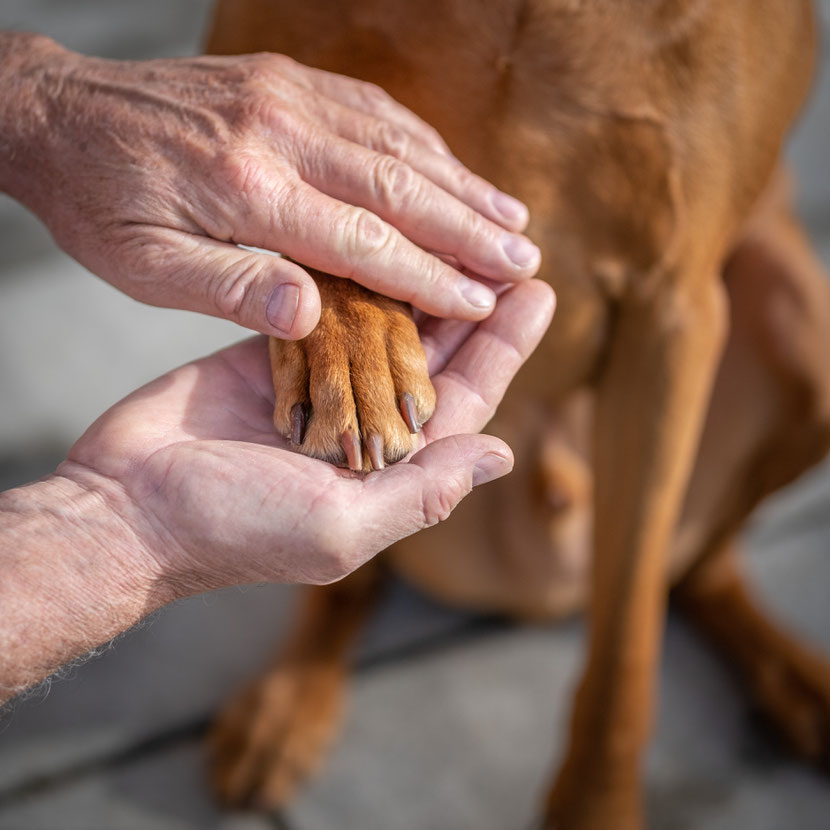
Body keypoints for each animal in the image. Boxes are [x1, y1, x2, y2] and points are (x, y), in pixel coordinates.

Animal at [203, 3, 830, 828]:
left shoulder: (674, 309)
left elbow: (624, 649)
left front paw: (596, 807)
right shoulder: (267, 84)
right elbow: (329, 188)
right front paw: (353, 347)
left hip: (803, 330)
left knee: (692, 572)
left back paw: (796, 678)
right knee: (347, 581)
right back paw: (289, 698)